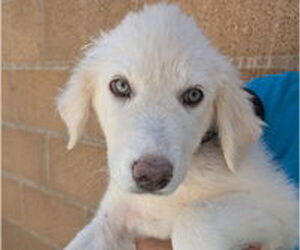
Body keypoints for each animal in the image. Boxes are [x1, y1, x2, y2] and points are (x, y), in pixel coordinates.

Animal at [56, 2, 298, 250]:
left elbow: (193, 218)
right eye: (121, 86)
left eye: (193, 95)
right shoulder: (113, 218)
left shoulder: (283, 205)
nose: (152, 175)